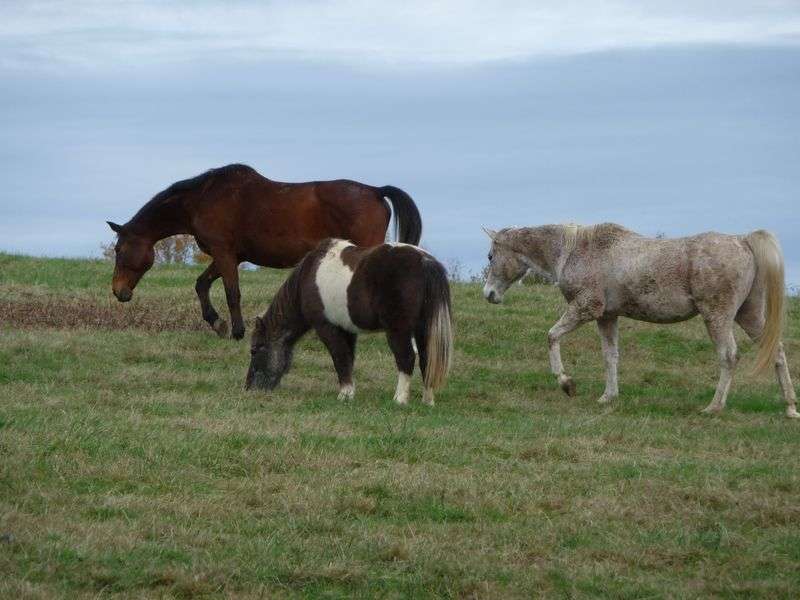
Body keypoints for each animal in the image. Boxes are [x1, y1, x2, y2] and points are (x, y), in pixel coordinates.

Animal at [106, 164, 424, 340]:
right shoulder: (230, 256)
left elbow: (232, 293)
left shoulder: (224, 253)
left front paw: (237, 331)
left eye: (120, 250)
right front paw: (217, 323)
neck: (202, 198)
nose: (118, 292)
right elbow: (202, 284)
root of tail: (375, 191)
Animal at [245, 238, 450, 404]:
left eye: (255, 350)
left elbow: (340, 358)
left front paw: (344, 394)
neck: (308, 276)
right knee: (426, 359)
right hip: (423, 329)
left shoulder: (326, 327)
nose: (248, 388)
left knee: (406, 357)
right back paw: (427, 400)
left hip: (398, 330)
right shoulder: (348, 330)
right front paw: (349, 392)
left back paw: (399, 399)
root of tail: (424, 261)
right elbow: (348, 360)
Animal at [478, 224, 796, 418]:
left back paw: (714, 407)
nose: (489, 294)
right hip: (749, 315)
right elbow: (610, 356)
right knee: (777, 352)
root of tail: (743, 240)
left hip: (717, 317)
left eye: (491, 255)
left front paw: (566, 383)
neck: (574, 250)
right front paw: (608, 396)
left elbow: (552, 336)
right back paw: (791, 407)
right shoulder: (607, 317)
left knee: (729, 356)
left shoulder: (586, 309)